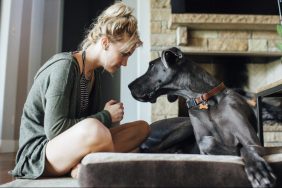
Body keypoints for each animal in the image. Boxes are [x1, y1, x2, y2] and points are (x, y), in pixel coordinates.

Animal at [129, 47, 276, 188]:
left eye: (152, 66)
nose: (129, 86)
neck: (205, 100)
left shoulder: (252, 141)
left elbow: (246, 148)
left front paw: (258, 170)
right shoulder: (202, 142)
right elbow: (206, 142)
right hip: (184, 127)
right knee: (148, 150)